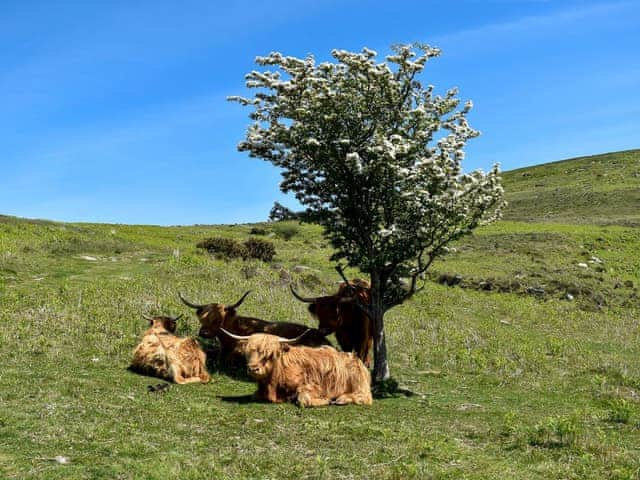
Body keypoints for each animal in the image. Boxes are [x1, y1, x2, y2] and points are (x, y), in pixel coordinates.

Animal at [221, 332, 372, 406]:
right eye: (248, 352)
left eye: (270, 354)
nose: (253, 369)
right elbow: (254, 395)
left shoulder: (312, 385)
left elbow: (303, 399)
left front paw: (325, 401)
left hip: (358, 383)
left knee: (365, 397)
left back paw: (342, 399)